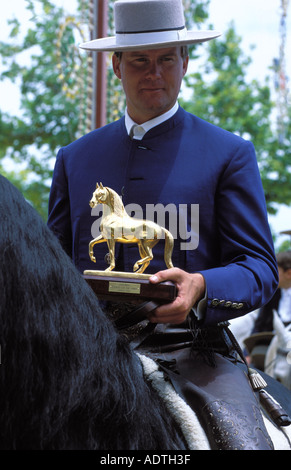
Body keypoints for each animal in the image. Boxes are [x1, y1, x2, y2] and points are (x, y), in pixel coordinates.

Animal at [0, 174, 187, 450]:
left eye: (99, 194)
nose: (90, 203)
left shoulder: (110, 239)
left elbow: (107, 251)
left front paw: (109, 268)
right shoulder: (104, 239)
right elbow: (93, 243)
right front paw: (101, 266)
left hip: (143, 243)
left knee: (148, 257)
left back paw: (137, 270)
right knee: (148, 258)